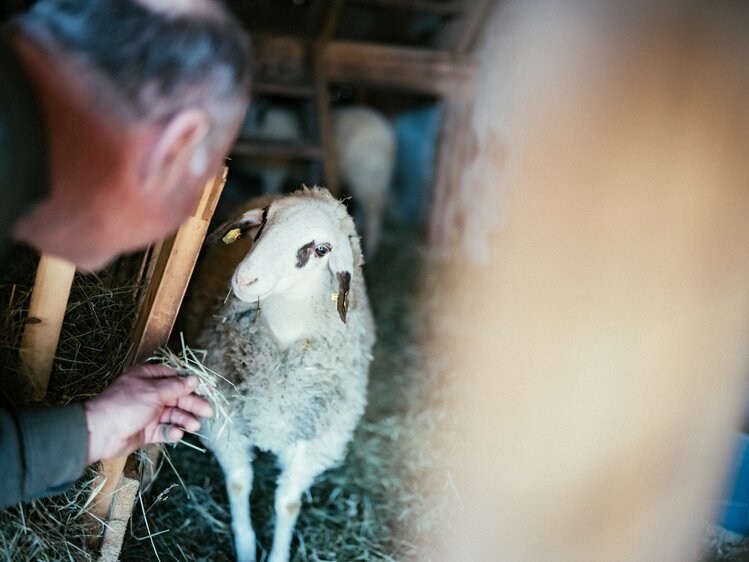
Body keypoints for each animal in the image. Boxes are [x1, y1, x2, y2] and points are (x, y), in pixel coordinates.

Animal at [187, 187, 374, 560]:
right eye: (265, 219)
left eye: (321, 249)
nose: (245, 278)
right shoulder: (223, 422)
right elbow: (239, 483)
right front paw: (246, 547)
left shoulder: (313, 441)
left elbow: (287, 503)